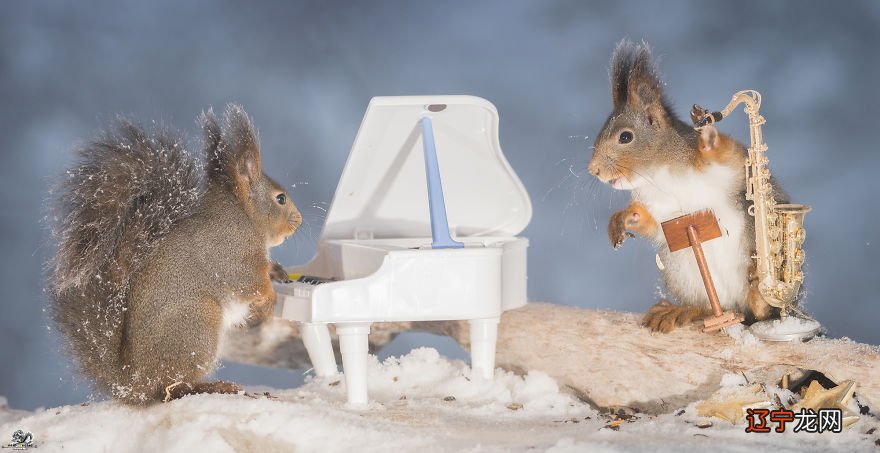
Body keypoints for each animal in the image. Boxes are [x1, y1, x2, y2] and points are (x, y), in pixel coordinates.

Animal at [49, 103, 302, 402]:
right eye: (280, 199)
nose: (299, 221)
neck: (244, 216)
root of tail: (134, 379)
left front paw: (278, 272)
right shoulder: (233, 254)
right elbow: (249, 282)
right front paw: (269, 299)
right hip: (197, 320)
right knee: (172, 387)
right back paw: (214, 386)